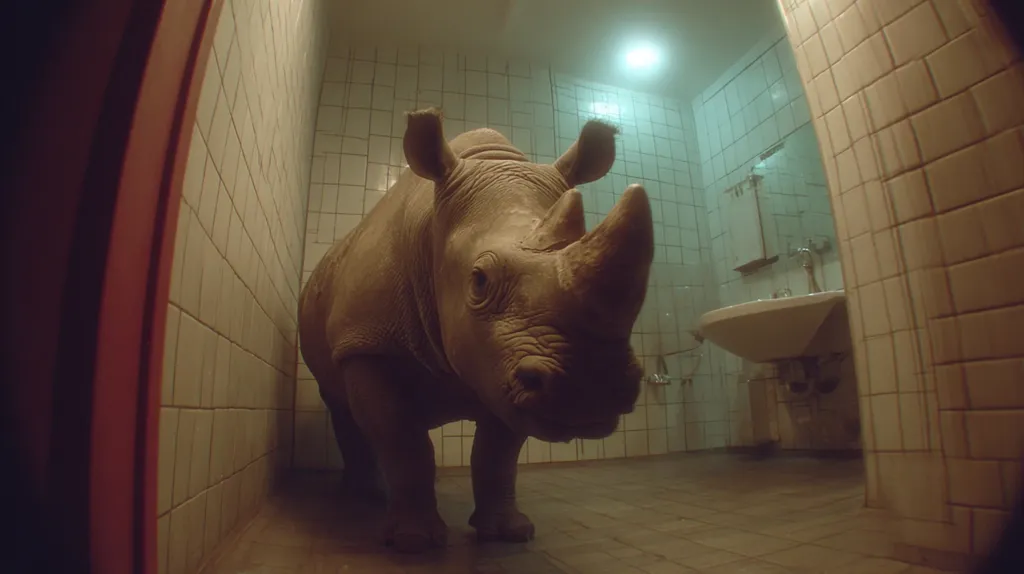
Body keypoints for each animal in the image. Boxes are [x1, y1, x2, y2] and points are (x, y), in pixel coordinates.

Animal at [298, 108, 654, 553]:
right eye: (479, 280)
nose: (591, 389)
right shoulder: (368, 342)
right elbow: (402, 439)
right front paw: (414, 542)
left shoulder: (501, 364)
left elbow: (497, 453)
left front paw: (508, 533)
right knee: (340, 405)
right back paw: (362, 495)